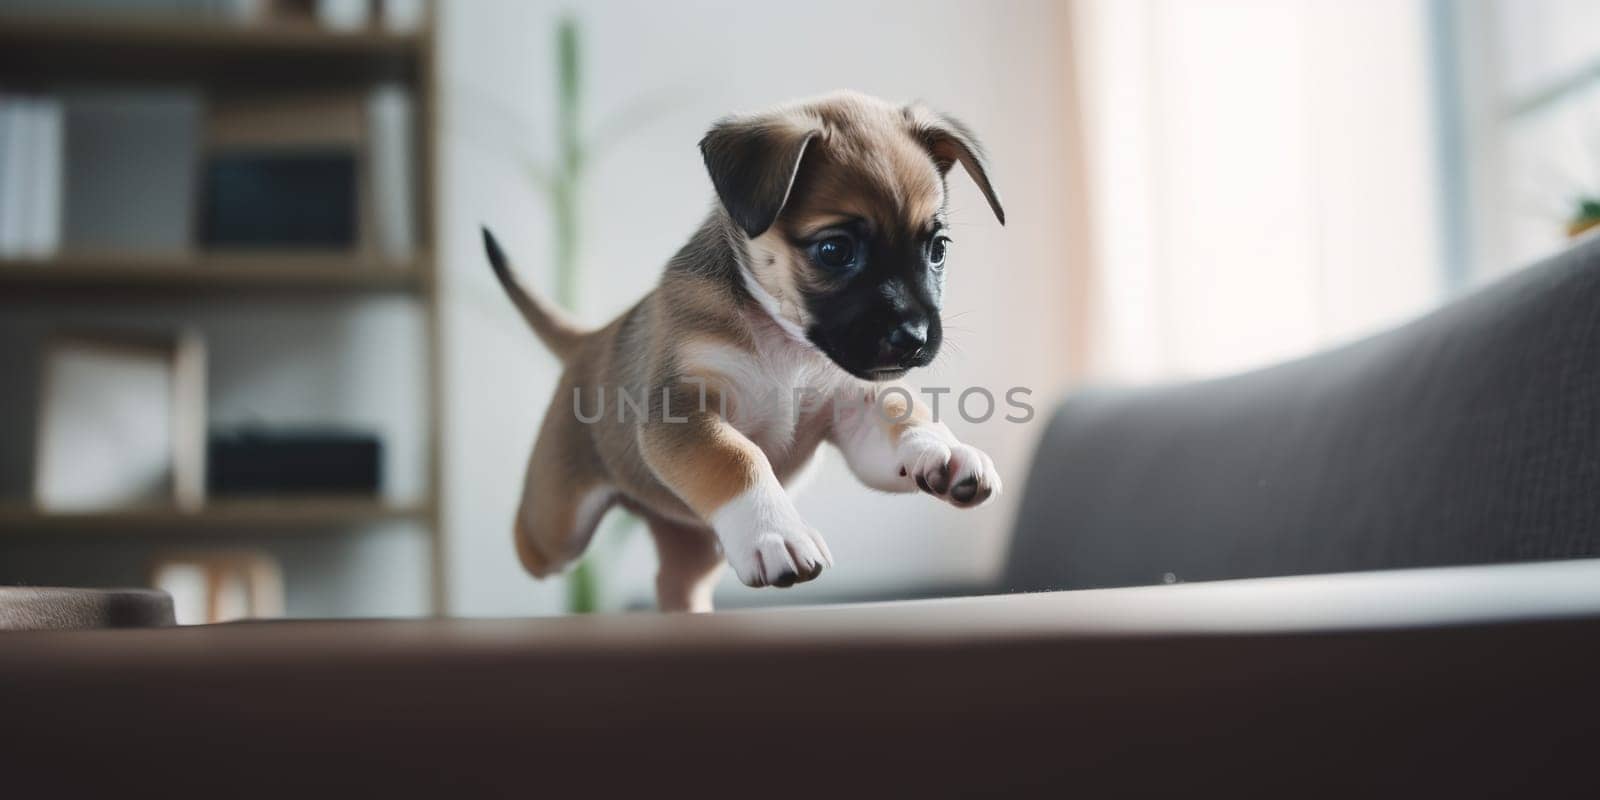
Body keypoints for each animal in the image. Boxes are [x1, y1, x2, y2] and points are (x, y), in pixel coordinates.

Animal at [480, 89, 1004, 611]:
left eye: (937, 249)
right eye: (835, 250)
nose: (914, 339)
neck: (787, 345)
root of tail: (589, 340)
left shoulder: (855, 412)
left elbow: (900, 417)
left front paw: (942, 448)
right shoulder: (684, 415)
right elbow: (738, 456)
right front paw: (775, 534)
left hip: (692, 542)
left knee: (675, 584)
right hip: (556, 530)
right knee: (528, 544)